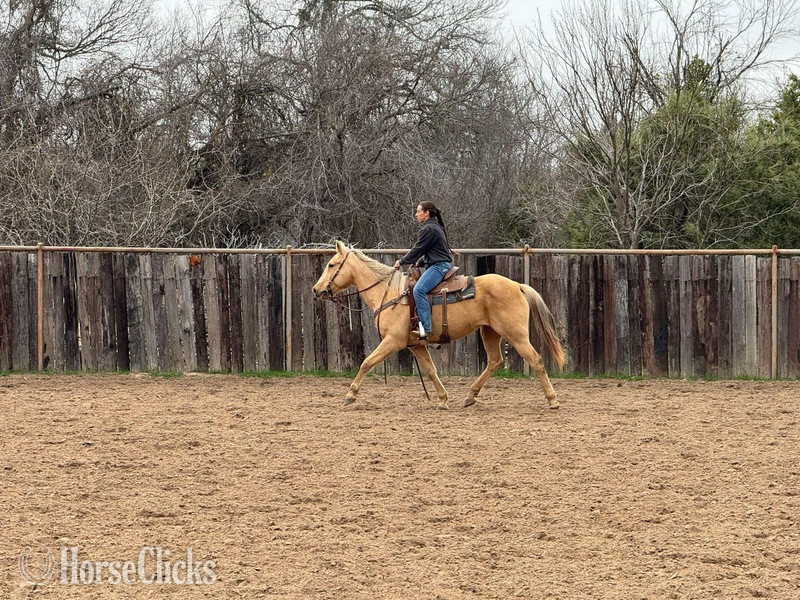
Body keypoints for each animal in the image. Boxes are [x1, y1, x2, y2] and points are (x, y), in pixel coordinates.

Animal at [312, 241, 565, 410]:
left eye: (332, 264)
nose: (316, 289)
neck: (390, 293)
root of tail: (517, 285)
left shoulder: (393, 341)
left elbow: (366, 362)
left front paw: (350, 395)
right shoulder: (415, 345)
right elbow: (431, 370)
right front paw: (443, 399)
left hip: (516, 335)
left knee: (536, 360)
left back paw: (552, 400)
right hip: (490, 332)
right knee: (495, 361)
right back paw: (470, 396)